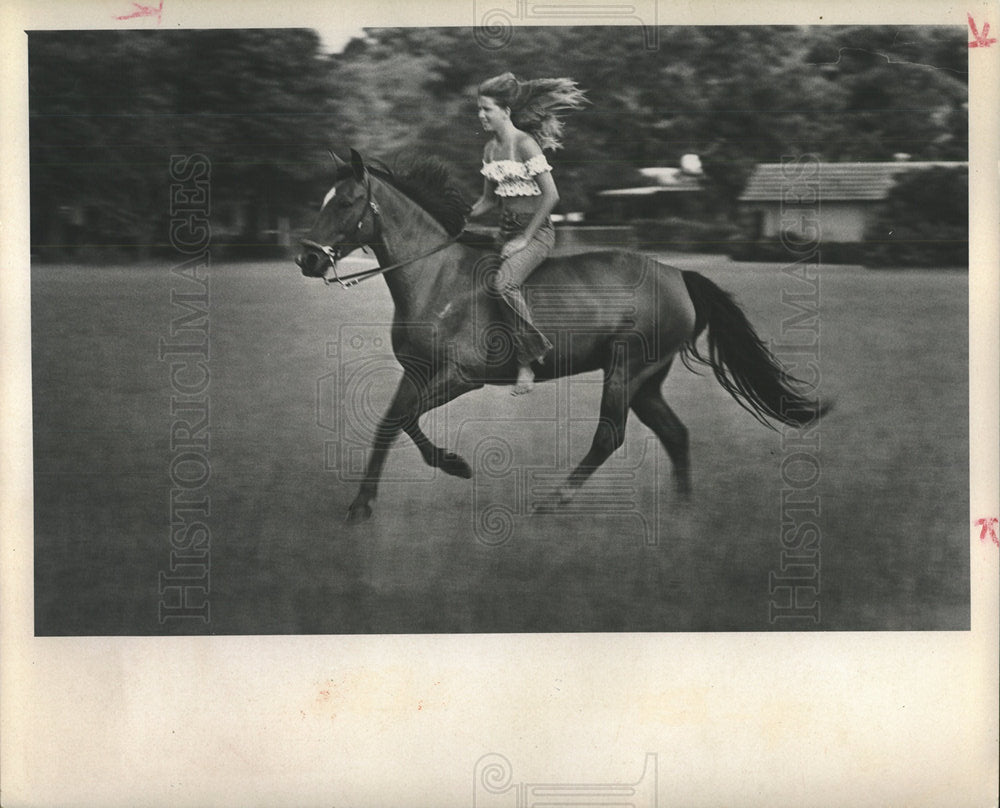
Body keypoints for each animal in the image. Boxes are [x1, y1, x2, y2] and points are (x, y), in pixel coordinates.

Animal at [296, 151, 828, 524]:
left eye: (346, 201)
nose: (307, 258)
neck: (436, 278)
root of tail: (679, 275)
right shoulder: (417, 371)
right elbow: (389, 423)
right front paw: (360, 505)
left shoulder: (462, 376)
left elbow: (404, 419)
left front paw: (455, 464)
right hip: (646, 381)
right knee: (674, 433)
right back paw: (683, 510)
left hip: (626, 369)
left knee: (609, 436)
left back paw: (554, 500)